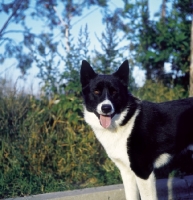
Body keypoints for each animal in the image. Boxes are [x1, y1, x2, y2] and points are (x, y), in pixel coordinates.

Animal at [79, 59, 193, 200]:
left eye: (114, 92)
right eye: (96, 92)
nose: (106, 108)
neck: (124, 120)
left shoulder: (143, 171)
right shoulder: (127, 172)